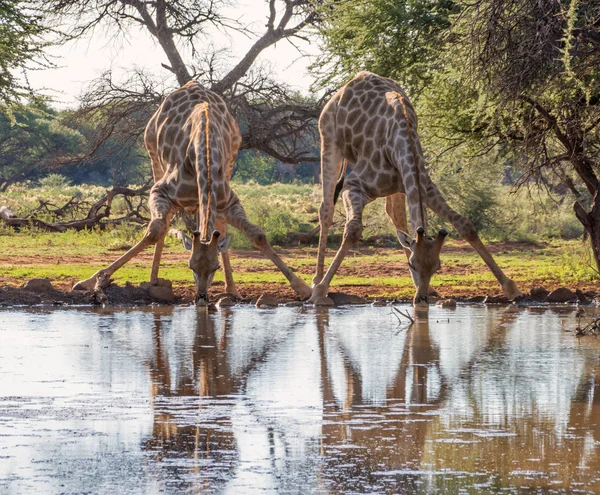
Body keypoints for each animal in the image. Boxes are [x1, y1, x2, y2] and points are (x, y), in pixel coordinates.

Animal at [72, 82, 312, 304]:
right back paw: (153, 280)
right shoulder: (160, 190)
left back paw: (231, 289)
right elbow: (154, 230)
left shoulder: (229, 200)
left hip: (229, 167)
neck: (203, 153)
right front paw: (93, 279)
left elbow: (257, 235)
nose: (202, 298)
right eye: (190, 266)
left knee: (218, 225)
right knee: (165, 223)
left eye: (214, 267)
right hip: (153, 158)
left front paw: (303, 287)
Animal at [310, 71, 520, 308]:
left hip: (397, 186)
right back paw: (315, 280)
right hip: (329, 141)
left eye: (437, 266)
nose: (421, 299)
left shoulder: (424, 186)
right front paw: (320, 291)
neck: (402, 140)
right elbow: (353, 229)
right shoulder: (354, 185)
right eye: (411, 264)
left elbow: (465, 224)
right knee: (326, 209)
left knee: (396, 215)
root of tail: (346, 86)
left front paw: (510, 287)